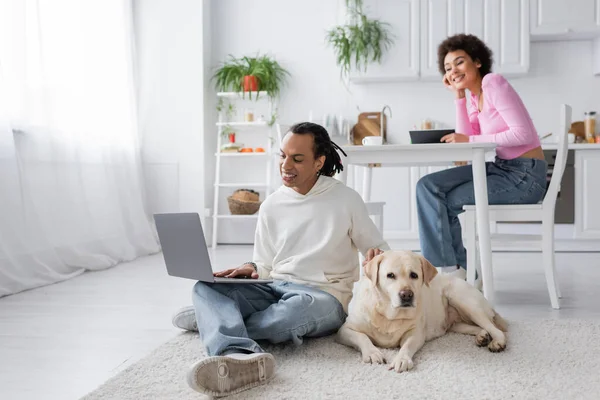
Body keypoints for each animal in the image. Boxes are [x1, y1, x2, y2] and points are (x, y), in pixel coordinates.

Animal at [338, 252, 506, 374]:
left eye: (414, 275)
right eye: (390, 275)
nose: (406, 295)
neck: (389, 315)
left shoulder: (416, 333)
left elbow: (406, 346)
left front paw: (401, 360)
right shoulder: (344, 330)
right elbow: (362, 337)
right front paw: (373, 353)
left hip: (464, 301)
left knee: (495, 328)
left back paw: (497, 342)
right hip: (456, 324)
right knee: (479, 327)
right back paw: (482, 337)